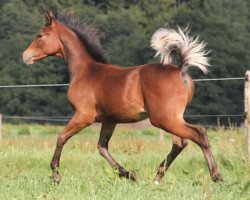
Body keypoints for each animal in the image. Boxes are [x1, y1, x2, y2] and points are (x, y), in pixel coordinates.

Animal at [22, 10, 222, 183]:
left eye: (39, 35)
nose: (25, 56)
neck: (85, 71)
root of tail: (180, 69)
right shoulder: (109, 120)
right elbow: (102, 147)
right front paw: (129, 174)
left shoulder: (83, 116)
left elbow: (61, 137)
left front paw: (55, 174)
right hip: (172, 118)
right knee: (180, 142)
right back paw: (157, 177)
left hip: (163, 119)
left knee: (198, 134)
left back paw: (216, 176)